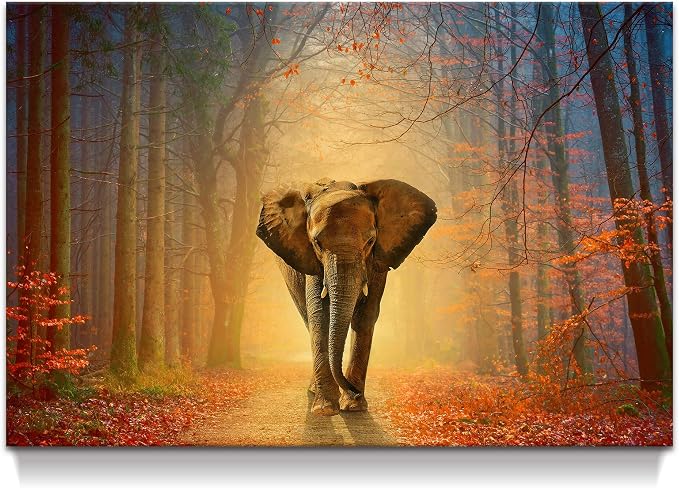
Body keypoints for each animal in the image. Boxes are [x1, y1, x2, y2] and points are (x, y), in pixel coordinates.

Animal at [256, 178, 437, 416]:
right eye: (317, 243)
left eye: (370, 242)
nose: (354, 391)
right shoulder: (312, 261)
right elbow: (319, 315)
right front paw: (325, 409)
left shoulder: (378, 260)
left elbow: (365, 315)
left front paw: (353, 406)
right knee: (307, 317)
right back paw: (315, 391)